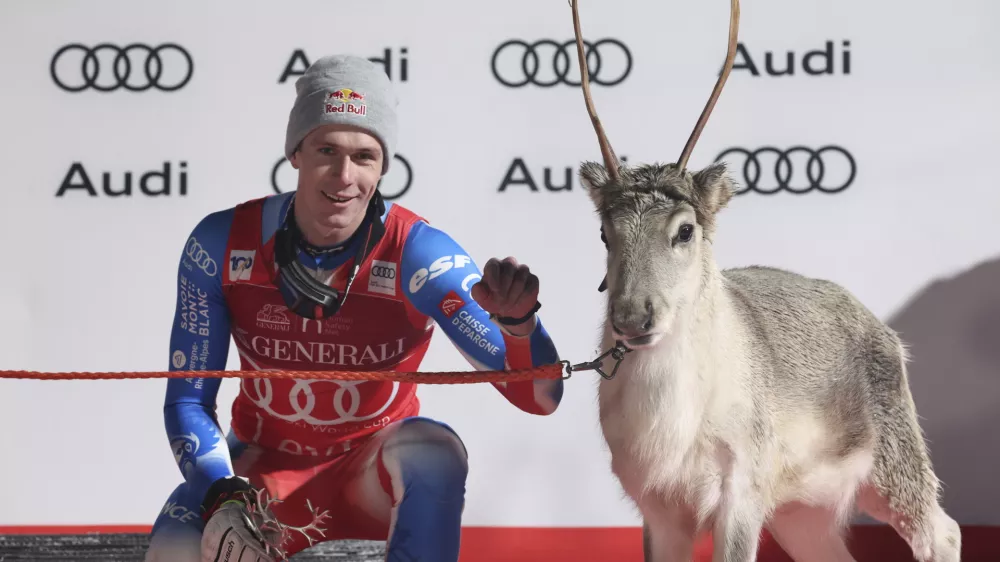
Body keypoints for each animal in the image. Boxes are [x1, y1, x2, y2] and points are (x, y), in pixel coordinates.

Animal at [565, 1, 962, 560]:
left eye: (684, 230)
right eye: (604, 232)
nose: (633, 318)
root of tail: (882, 329)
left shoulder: (742, 492)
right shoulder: (658, 507)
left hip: (894, 461)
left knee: (942, 531)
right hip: (801, 512)